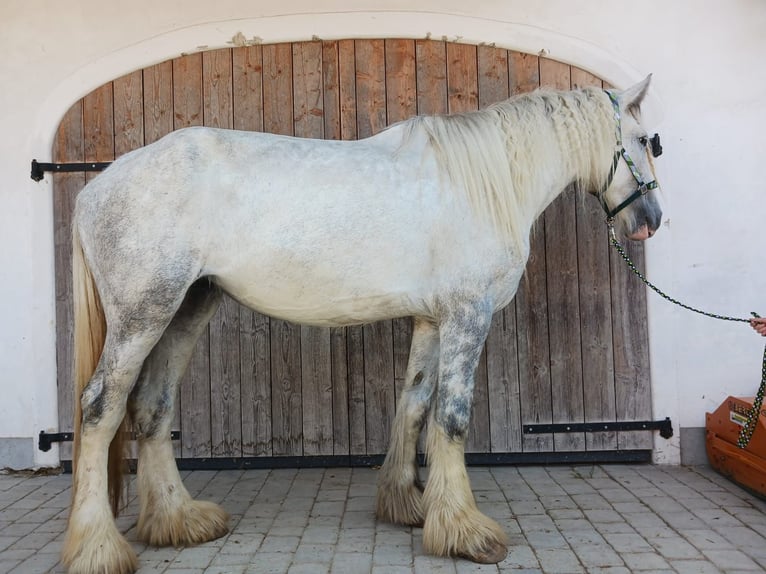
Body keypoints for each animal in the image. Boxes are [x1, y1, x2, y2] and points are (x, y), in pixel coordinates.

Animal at [61, 73, 662, 574]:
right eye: (643, 139)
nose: (649, 221)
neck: (482, 183)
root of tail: (94, 189)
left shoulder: (432, 320)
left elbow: (414, 405)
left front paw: (409, 505)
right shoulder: (467, 315)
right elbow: (451, 418)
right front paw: (466, 532)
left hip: (186, 308)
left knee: (151, 407)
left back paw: (178, 521)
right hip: (143, 315)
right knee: (100, 409)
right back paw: (97, 548)